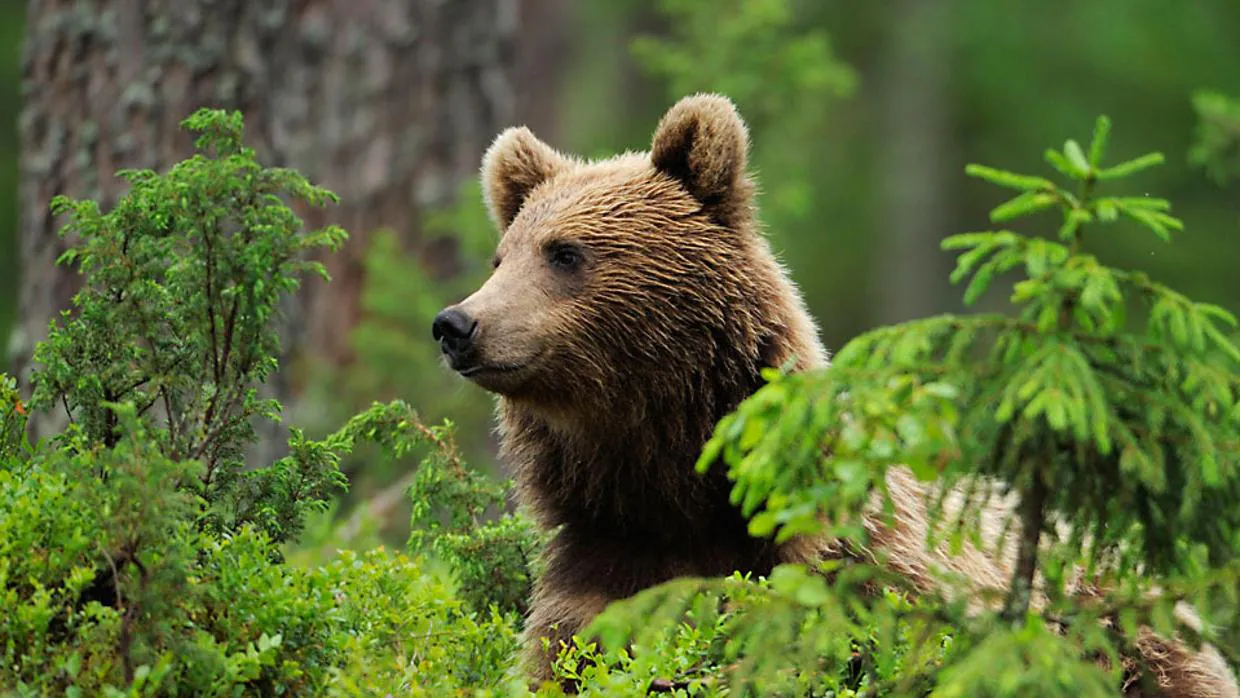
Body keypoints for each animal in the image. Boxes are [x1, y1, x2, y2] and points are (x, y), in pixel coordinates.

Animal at [431, 94, 1235, 698]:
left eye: (565, 253)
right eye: (501, 256)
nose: (457, 324)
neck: (677, 484)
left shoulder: (860, 576)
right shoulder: (600, 578)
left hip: (1128, 640)